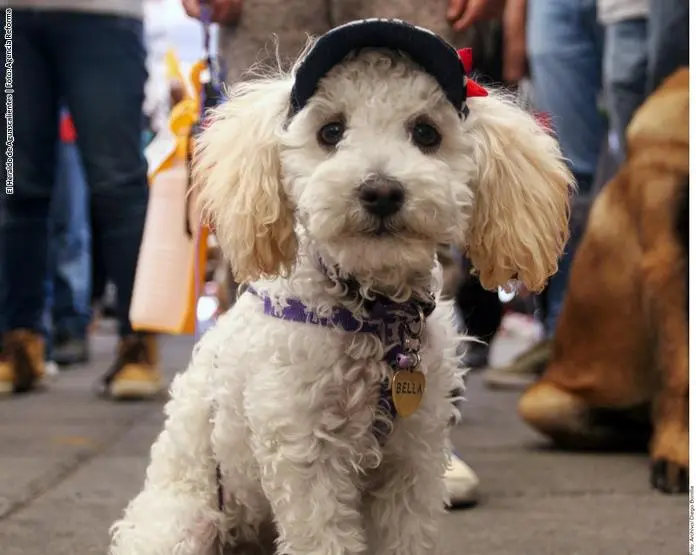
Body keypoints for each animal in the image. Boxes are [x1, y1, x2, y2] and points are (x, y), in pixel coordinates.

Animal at [111, 19, 572, 555]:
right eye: (330, 131)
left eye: (426, 132)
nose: (381, 191)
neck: (373, 316)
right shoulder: (304, 453)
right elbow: (323, 535)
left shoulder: (412, 458)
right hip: (186, 521)